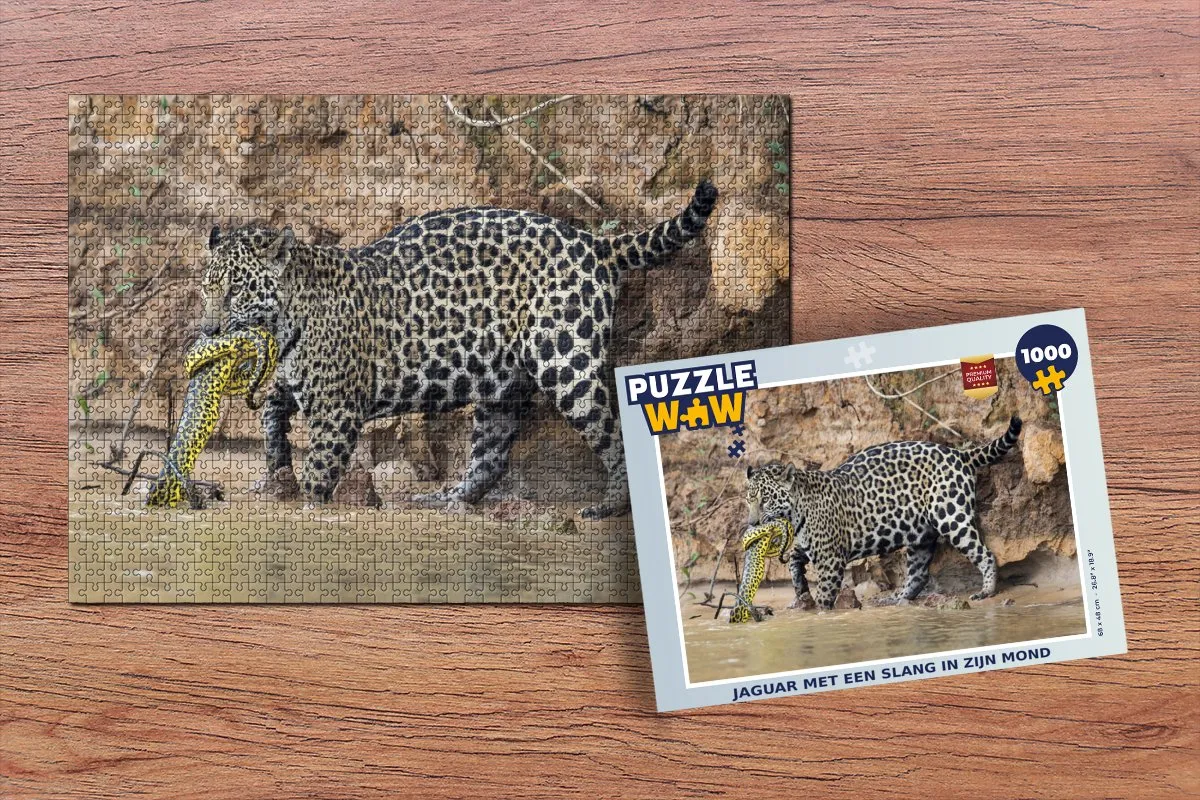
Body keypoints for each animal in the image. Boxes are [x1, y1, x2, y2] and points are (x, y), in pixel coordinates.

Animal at [200, 180, 719, 518]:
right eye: (206, 289)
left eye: (235, 291)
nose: (207, 329)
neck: (288, 314)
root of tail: (596, 243)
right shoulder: (303, 380)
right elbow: (272, 405)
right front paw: (275, 463)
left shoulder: (337, 404)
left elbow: (322, 462)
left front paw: (308, 499)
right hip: (500, 384)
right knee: (491, 457)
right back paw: (448, 499)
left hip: (565, 361)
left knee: (610, 431)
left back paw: (611, 505)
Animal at [744, 416, 1023, 609]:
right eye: (749, 500)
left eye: (766, 500)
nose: (752, 522)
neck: (797, 511)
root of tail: (960, 454)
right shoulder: (815, 546)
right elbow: (794, 558)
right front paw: (800, 589)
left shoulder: (830, 558)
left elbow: (824, 595)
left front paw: (820, 611)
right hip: (920, 534)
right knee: (919, 573)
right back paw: (898, 599)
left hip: (951, 517)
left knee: (984, 553)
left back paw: (986, 591)